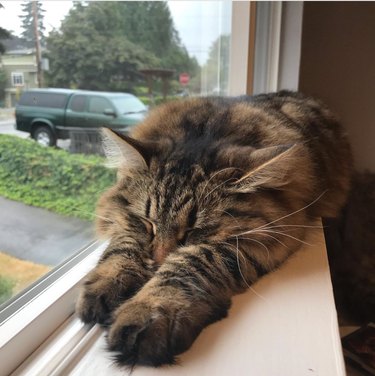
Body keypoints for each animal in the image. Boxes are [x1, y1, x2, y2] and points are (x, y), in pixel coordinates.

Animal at [75, 91, 352, 368]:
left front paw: (148, 310)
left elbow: (188, 265)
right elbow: (123, 245)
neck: (208, 130)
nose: (157, 261)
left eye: (193, 232)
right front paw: (108, 282)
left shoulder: (255, 241)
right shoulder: (120, 219)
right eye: (148, 223)